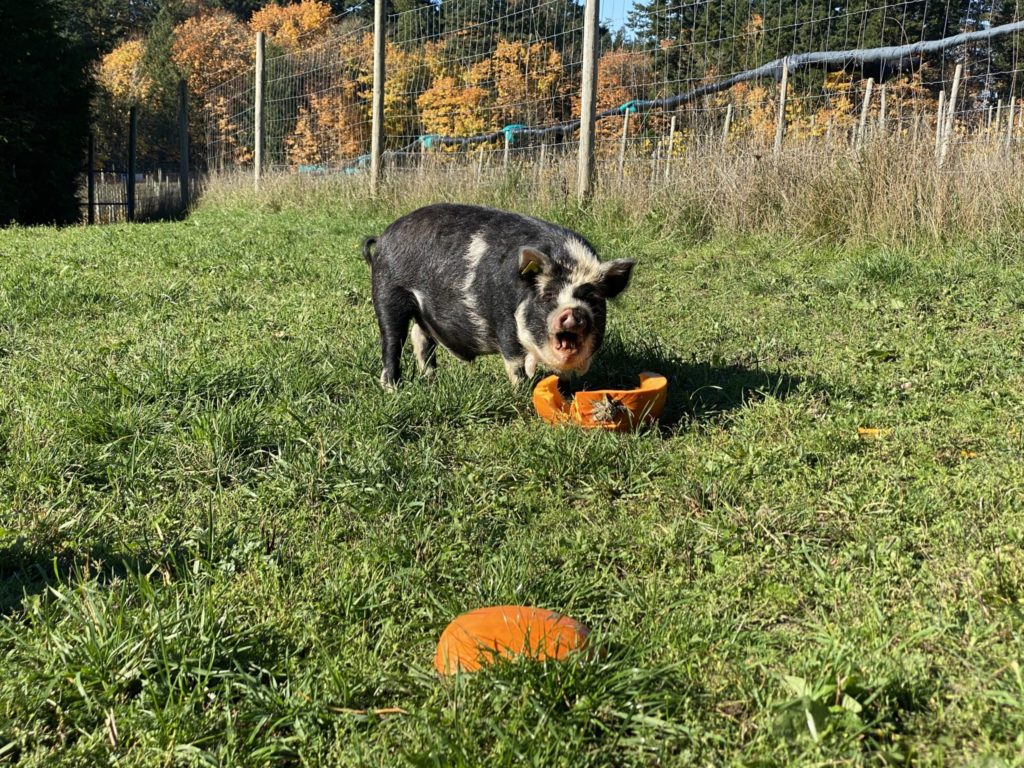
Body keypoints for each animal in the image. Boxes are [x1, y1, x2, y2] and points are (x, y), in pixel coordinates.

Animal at [360, 202, 630, 387]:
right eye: (547, 296)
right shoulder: (504, 321)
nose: (573, 312)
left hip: (422, 310)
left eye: (592, 299)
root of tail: (383, 238)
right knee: (392, 341)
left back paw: (431, 380)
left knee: (421, 339)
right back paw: (393, 388)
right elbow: (515, 362)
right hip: (387, 293)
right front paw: (523, 392)